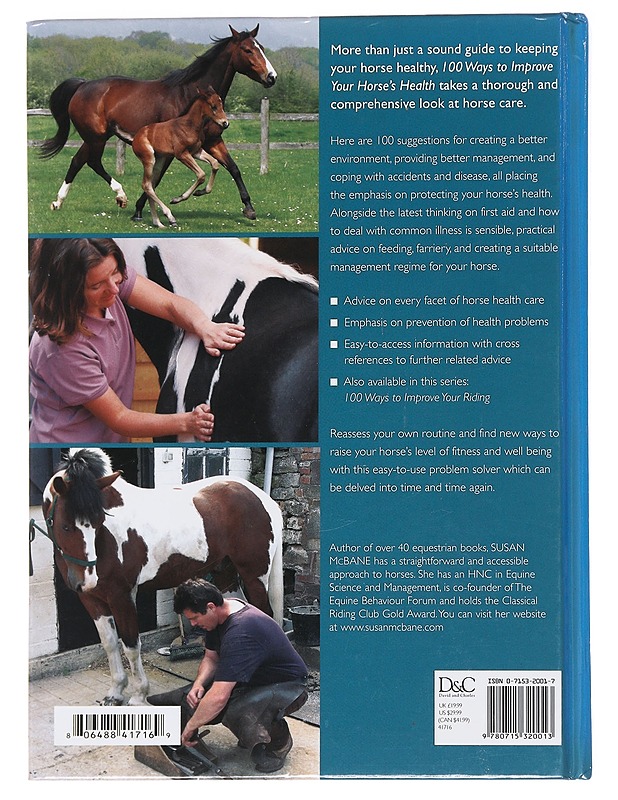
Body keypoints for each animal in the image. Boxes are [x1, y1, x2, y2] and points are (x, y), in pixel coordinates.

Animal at [40, 448, 284, 705]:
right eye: (66, 526)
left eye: (98, 522)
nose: (86, 580)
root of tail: (263, 498)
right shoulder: (92, 599)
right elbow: (109, 643)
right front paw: (115, 692)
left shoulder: (121, 596)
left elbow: (130, 646)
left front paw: (138, 696)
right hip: (226, 575)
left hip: (254, 576)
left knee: (265, 614)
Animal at [131, 86, 229, 228]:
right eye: (213, 106)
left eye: (221, 105)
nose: (225, 123)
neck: (189, 125)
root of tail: (136, 137)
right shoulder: (181, 154)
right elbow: (201, 174)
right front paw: (177, 199)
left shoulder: (196, 152)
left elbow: (215, 164)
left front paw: (200, 192)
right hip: (149, 159)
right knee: (146, 185)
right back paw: (170, 217)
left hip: (159, 161)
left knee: (151, 185)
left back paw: (158, 223)